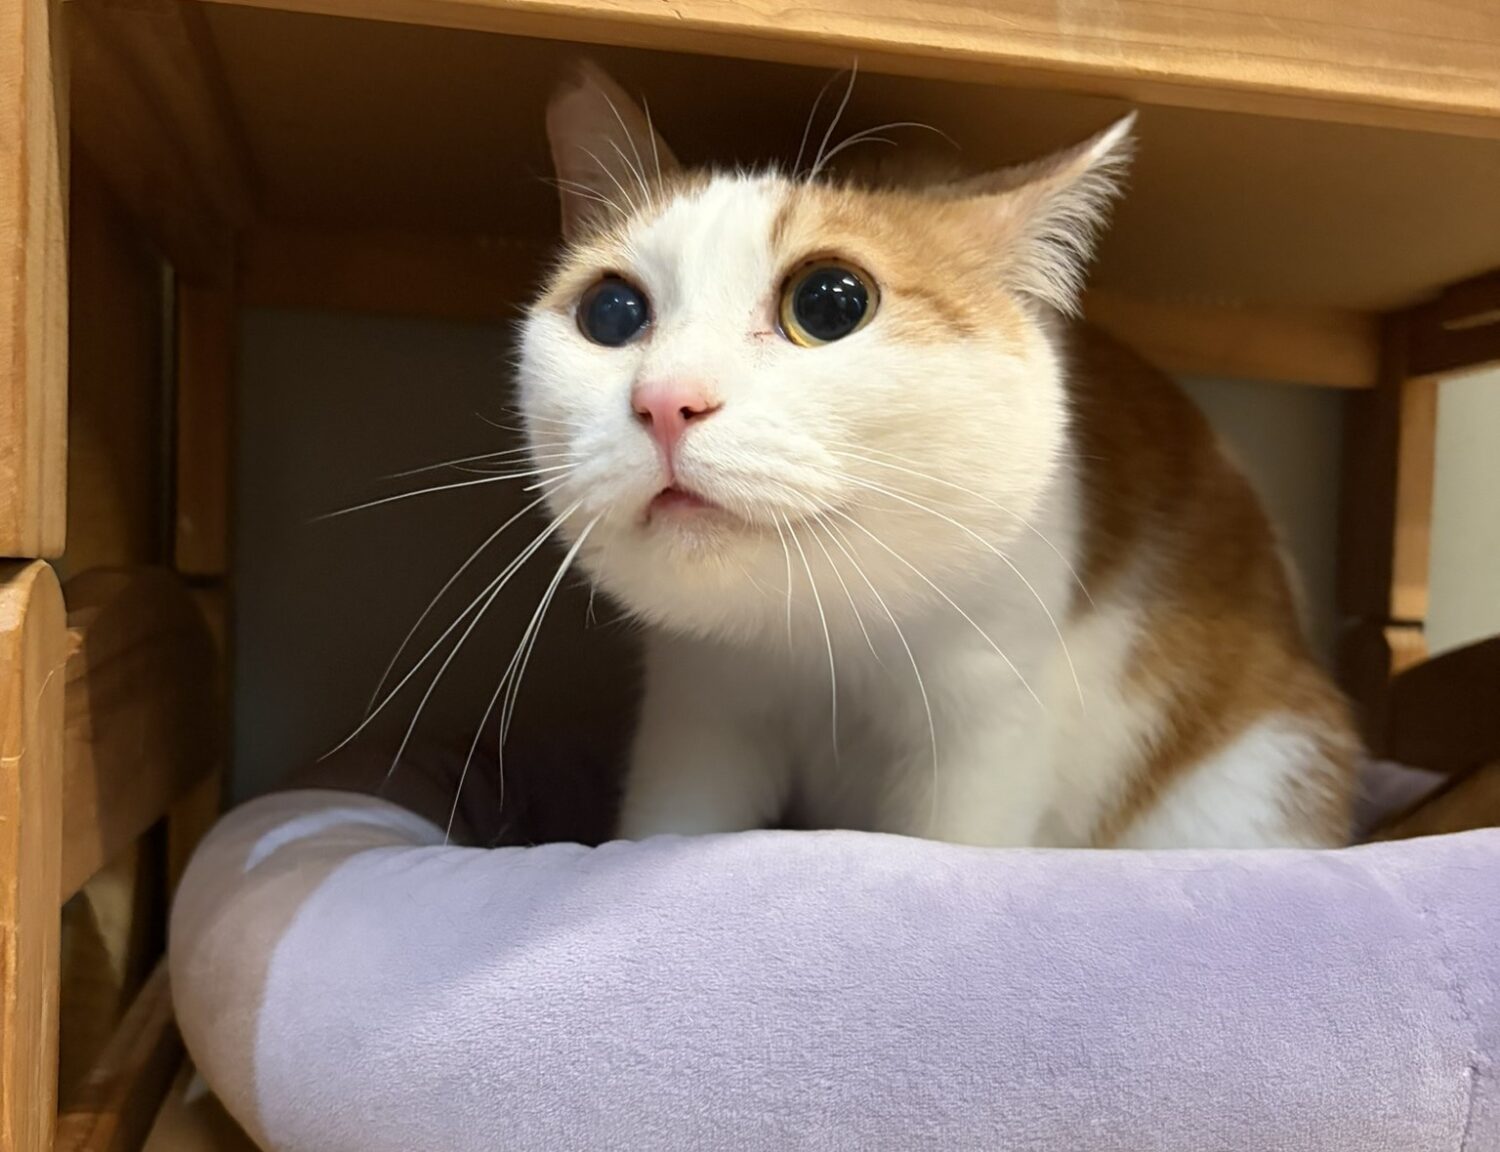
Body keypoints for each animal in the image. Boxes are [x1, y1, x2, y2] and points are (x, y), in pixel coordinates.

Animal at [516, 63, 1359, 849]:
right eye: (611, 312)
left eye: (829, 303)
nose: (667, 401)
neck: (814, 640)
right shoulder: (698, 703)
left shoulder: (990, 703)